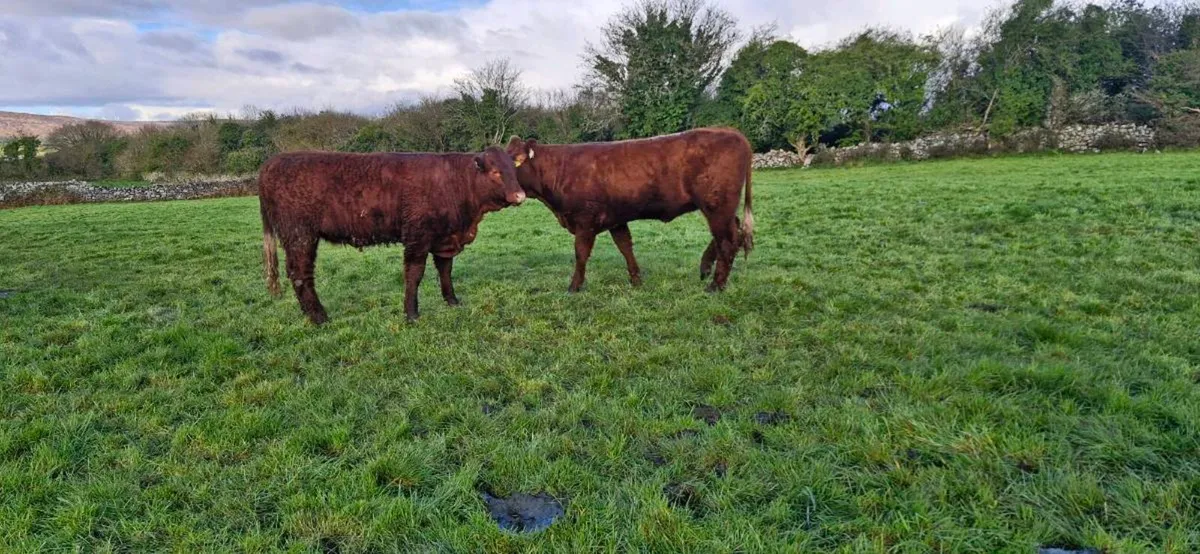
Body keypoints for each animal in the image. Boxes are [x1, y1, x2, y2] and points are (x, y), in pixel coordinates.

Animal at [258, 147, 526, 325]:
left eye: (514, 170)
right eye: (495, 172)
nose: (520, 195)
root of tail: (272, 163)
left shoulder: (444, 238)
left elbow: (445, 270)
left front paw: (452, 301)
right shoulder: (417, 236)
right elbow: (414, 275)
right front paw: (411, 314)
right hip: (300, 235)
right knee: (300, 274)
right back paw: (319, 317)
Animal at [504, 127, 754, 293]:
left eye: (513, 161)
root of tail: (728, 130)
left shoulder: (585, 220)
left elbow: (581, 254)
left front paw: (574, 286)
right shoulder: (616, 219)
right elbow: (625, 247)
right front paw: (636, 280)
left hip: (716, 206)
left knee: (728, 240)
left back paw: (716, 285)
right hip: (721, 208)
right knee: (734, 231)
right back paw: (705, 268)